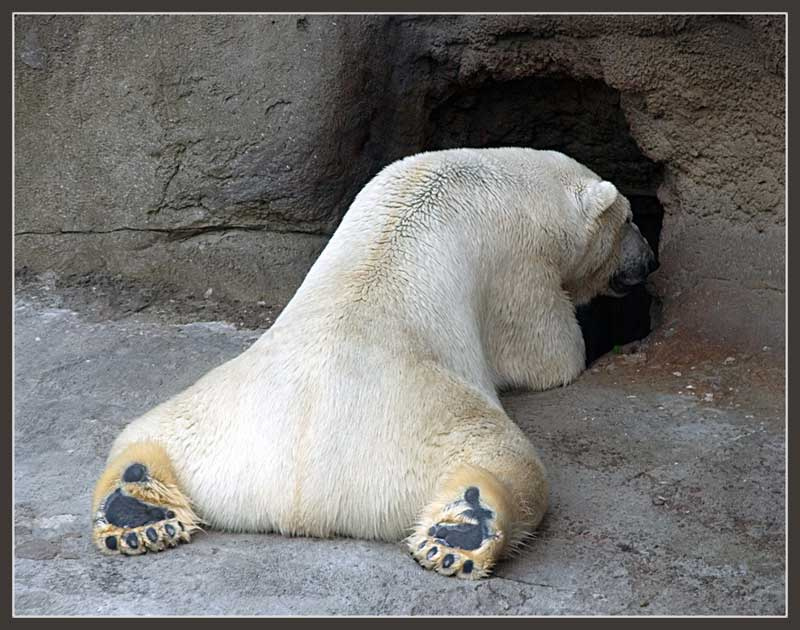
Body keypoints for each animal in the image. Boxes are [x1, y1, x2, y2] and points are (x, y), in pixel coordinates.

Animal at [91, 147, 657, 579]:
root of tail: (299, 494)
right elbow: (550, 355)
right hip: (425, 420)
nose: (650, 260)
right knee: (509, 461)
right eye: (630, 219)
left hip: (210, 411)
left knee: (142, 433)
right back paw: (460, 534)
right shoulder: (520, 266)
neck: (507, 178)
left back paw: (136, 511)